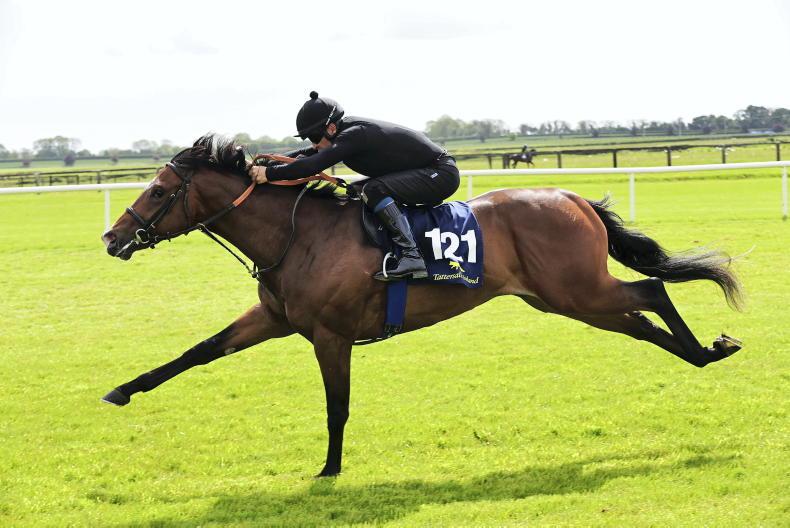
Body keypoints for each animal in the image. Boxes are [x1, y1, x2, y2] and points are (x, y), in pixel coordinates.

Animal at [100, 134, 743, 477]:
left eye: (159, 191)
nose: (112, 237)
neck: (298, 234)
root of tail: (571, 196)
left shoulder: (330, 335)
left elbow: (337, 406)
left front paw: (330, 468)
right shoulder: (276, 319)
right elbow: (199, 351)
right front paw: (122, 390)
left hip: (577, 289)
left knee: (651, 293)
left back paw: (713, 349)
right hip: (563, 299)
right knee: (639, 321)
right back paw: (704, 353)